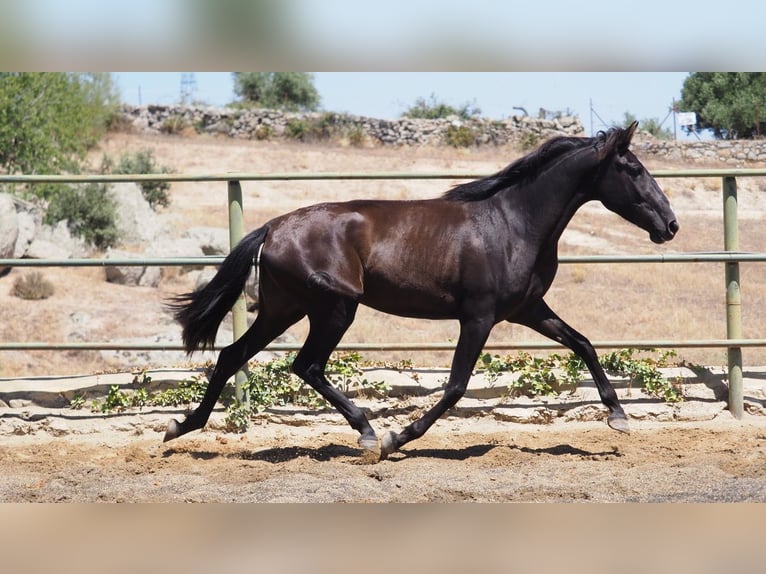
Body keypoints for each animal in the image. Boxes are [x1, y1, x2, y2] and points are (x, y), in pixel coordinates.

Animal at [166, 124, 680, 462]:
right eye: (634, 169)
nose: (671, 225)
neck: (514, 224)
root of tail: (273, 227)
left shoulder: (528, 309)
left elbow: (583, 343)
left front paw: (618, 416)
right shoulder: (479, 316)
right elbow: (455, 386)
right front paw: (398, 438)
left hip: (284, 309)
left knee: (233, 355)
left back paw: (181, 427)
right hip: (334, 308)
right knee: (305, 364)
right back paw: (368, 434)